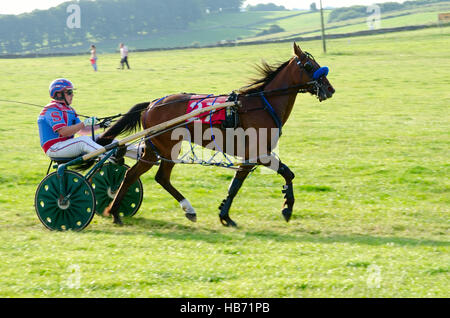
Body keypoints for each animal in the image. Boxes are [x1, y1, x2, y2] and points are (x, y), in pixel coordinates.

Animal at [97, 42, 334, 226]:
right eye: (309, 65)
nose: (330, 89)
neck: (262, 104)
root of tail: (151, 104)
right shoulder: (257, 154)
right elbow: (278, 175)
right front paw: (285, 209)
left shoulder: (251, 156)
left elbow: (242, 183)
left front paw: (226, 214)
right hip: (166, 147)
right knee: (153, 176)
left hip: (154, 149)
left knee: (139, 175)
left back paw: (117, 212)